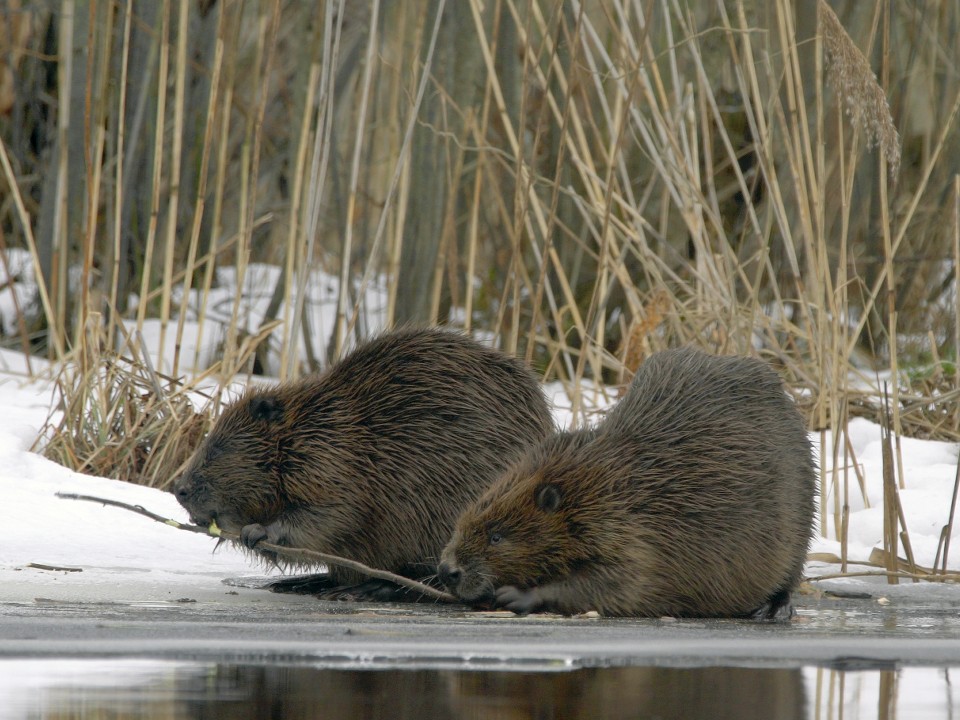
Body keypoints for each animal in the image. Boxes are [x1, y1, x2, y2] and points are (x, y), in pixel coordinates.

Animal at [169, 326, 552, 596]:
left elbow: (332, 514)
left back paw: (366, 588)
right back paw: (310, 584)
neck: (314, 426)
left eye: (218, 448)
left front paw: (257, 531)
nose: (179, 489)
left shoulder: (331, 462)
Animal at [438, 348, 812, 620]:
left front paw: (516, 595)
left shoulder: (633, 533)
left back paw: (774, 609)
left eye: (497, 536)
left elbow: (619, 583)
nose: (447, 571)